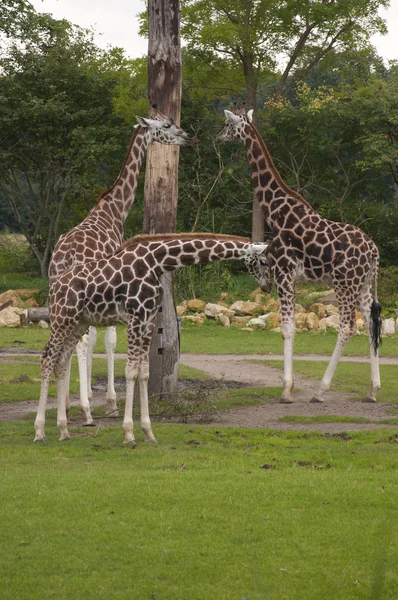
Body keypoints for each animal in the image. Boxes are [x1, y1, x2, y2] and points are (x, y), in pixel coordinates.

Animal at [35, 232, 270, 442]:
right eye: (264, 261)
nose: (267, 286)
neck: (157, 263)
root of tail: (54, 287)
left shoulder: (147, 321)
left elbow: (144, 373)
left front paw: (148, 432)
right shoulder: (135, 318)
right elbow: (131, 372)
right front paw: (129, 433)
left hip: (78, 322)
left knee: (61, 360)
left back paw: (64, 431)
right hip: (62, 319)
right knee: (47, 358)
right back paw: (40, 432)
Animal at [49, 108, 195, 426]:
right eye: (167, 125)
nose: (187, 137)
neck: (115, 210)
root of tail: (67, 256)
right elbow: (108, 341)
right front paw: (108, 403)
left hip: (57, 289)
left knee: (65, 339)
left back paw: (65, 406)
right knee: (81, 341)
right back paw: (85, 410)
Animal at [218, 105, 382, 406]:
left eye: (228, 124)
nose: (219, 137)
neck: (276, 213)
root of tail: (374, 252)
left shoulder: (283, 275)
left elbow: (287, 328)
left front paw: (286, 390)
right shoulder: (290, 278)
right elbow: (290, 327)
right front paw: (289, 387)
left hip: (344, 283)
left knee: (348, 327)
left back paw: (320, 390)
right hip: (363, 285)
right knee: (370, 322)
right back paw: (372, 391)